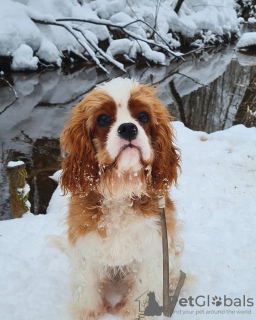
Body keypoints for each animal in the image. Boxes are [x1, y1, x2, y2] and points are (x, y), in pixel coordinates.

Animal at [59, 78, 181, 320]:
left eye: (143, 116)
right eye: (103, 119)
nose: (128, 128)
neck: (121, 186)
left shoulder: (153, 241)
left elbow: (144, 282)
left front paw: (138, 311)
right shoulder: (86, 243)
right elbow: (86, 283)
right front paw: (87, 311)